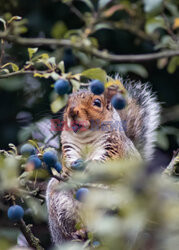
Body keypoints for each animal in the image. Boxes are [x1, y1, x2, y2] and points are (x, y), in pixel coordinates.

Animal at [45, 79, 160, 244]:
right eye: (67, 104)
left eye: (97, 103)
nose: (72, 112)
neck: (86, 135)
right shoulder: (69, 144)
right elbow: (68, 158)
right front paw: (67, 170)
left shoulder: (114, 146)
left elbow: (107, 161)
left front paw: (87, 167)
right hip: (60, 203)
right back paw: (78, 234)